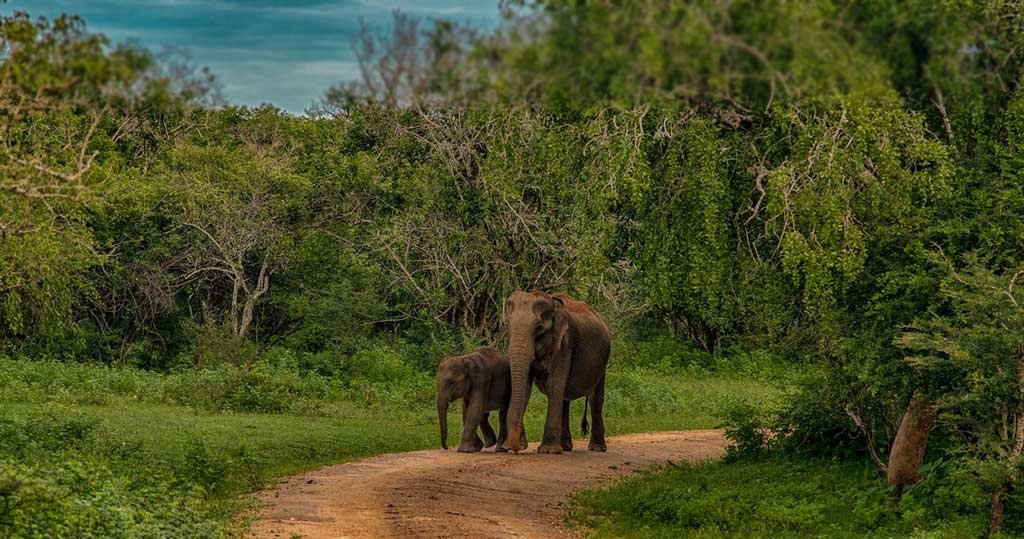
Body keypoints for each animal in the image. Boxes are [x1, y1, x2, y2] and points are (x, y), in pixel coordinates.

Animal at [503, 290, 611, 454]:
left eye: (539, 327)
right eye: (507, 325)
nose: (514, 448)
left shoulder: (565, 344)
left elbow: (554, 385)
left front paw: (548, 451)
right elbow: (526, 387)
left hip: (602, 362)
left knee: (595, 398)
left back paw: (597, 448)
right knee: (564, 398)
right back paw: (565, 447)